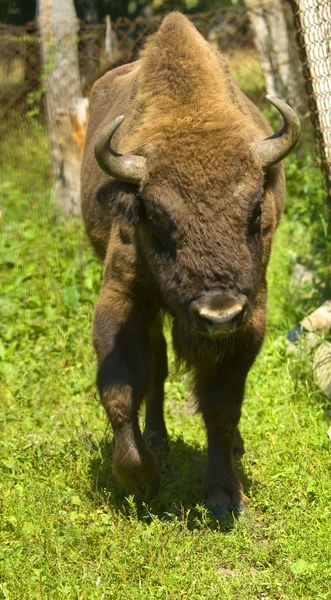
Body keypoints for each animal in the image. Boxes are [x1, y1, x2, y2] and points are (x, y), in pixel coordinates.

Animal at [81, 11, 300, 516]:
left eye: (255, 210)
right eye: (158, 216)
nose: (218, 313)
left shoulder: (250, 317)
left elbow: (221, 408)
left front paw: (223, 495)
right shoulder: (122, 296)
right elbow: (120, 391)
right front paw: (140, 480)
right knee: (158, 369)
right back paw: (159, 440)